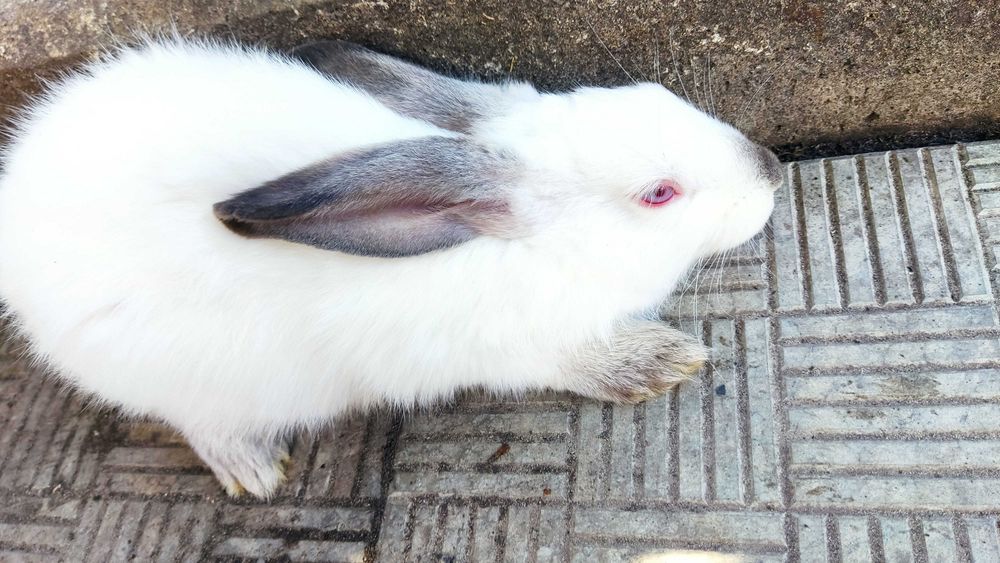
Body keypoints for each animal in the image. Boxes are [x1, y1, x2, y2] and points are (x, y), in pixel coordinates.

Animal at [0, 37, 782, 499]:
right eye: (659, 194)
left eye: (657, 94)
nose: (772, 169)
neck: (531, 249)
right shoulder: (516, 348)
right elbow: (579, 359)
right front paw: (659, 361)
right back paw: (253, 471)